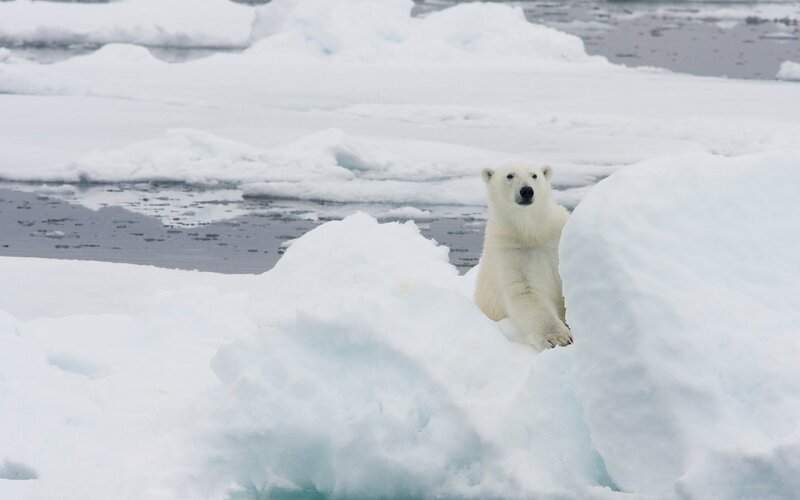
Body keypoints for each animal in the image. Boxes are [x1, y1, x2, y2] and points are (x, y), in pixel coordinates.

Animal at [474, 162, 573, 351]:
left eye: (534, 175)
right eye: (509, 175)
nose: (527, 191)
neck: (532, 231)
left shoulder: (557, 233)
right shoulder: (510, 249)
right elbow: (525, 292)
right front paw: (560, 337)